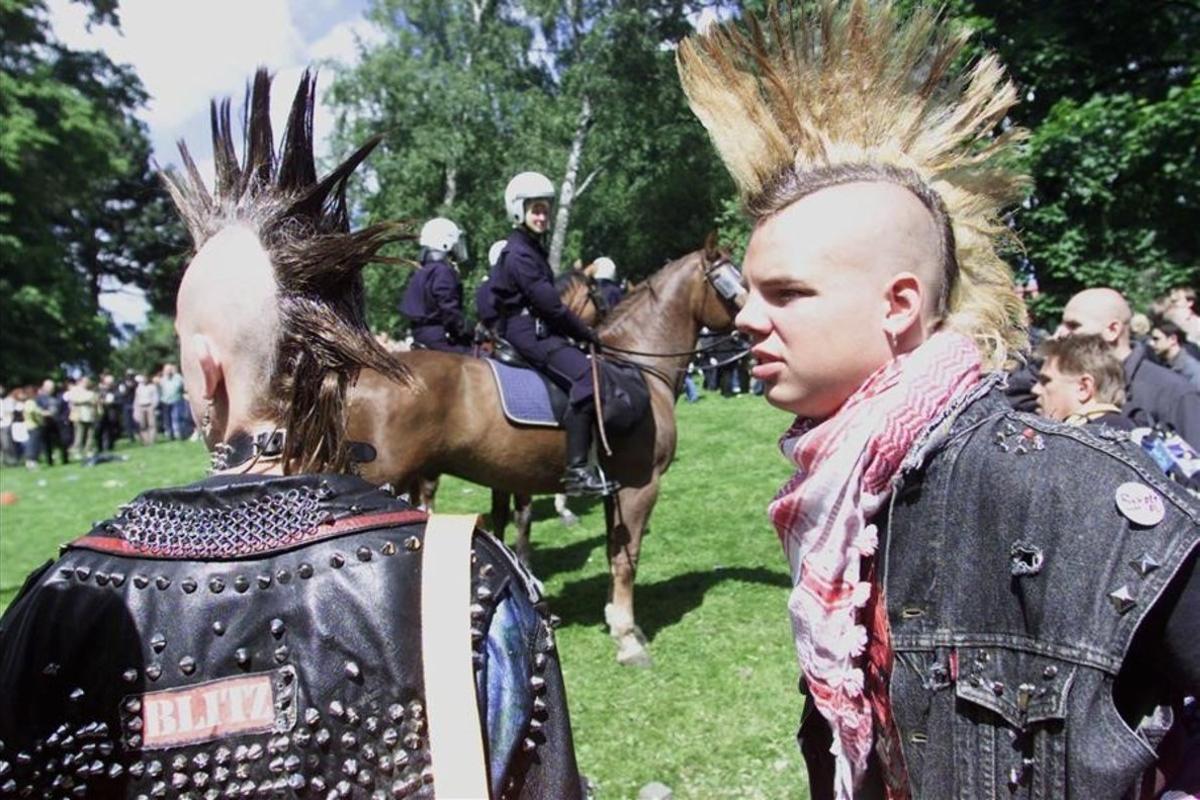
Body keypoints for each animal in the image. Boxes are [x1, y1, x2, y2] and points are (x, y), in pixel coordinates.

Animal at [345, 241, 739, 666]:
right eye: (730, 283)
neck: (636, 367)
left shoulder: (611, 490)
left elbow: (608, 549)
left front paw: (614, 618)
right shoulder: (640, 486)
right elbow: (625, 558)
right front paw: (627, 637)